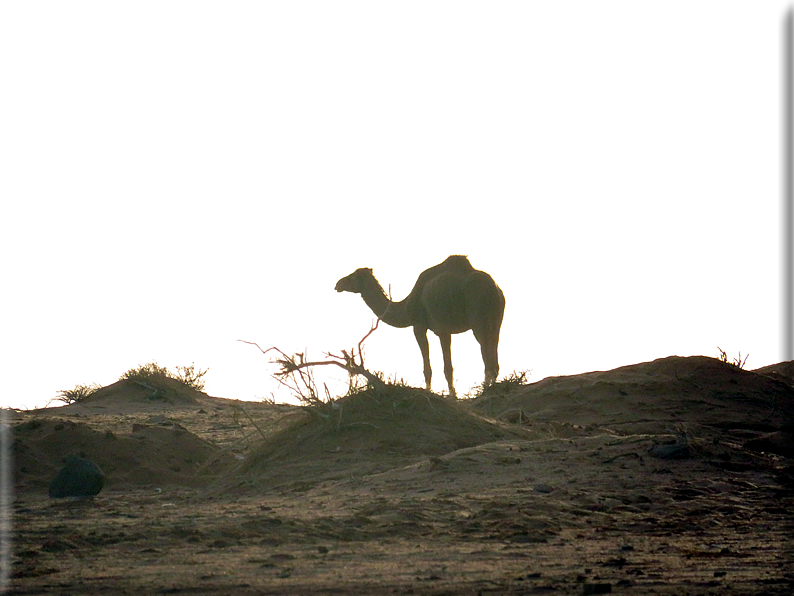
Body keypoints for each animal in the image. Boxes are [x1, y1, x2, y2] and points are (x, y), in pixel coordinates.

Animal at [332, 255, 504, 398]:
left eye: (352, 276)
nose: (338, 284)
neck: (406, 306)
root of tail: (494, 289)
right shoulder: (443, 330)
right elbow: (446, 367)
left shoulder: (422, 326)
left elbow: (433, 368)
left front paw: (438, 393)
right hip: (497, 320)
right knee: (493, 356)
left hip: (478, 317)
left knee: (486, 355)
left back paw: (485, 390)